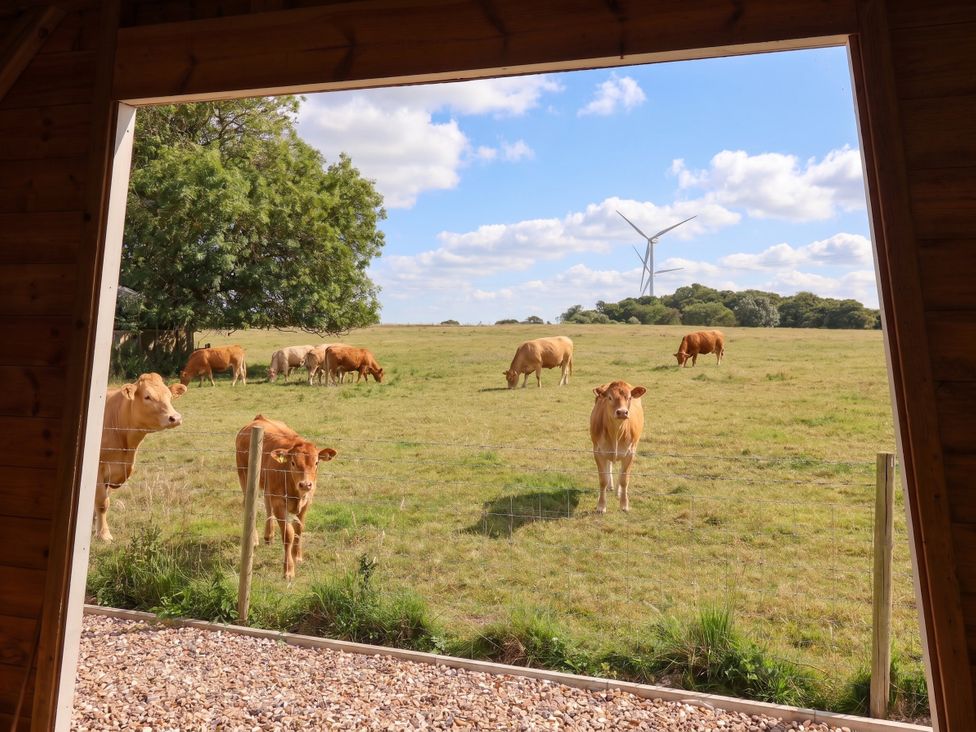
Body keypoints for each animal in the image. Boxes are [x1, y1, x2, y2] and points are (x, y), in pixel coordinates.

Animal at [96, 373, 187, 541]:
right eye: (147, 397)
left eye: (170, 396)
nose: (175, 418)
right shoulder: (99, 468)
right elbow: (102, 502)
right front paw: (104, 535)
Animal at [235, 415, 337, 579]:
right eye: (293, 462)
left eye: (316, 462)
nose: (305, 484)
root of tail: (259, 418)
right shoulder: (279, 503)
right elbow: (288, 534)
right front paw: (288, 569)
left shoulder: (307, 502)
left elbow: (299, 529)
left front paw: (297, 556)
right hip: (244, 475)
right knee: (249, 504)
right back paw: (254, 539)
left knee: (267, 504)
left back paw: (269, 536)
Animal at [589, 380, 646, 514]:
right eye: (609, 397)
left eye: (629, 397)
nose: (622, 412)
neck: (616, 431)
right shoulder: (598, 451)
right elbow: (603, 480)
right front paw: (601, 506)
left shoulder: (630, 453)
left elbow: (624, 479)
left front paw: (624, 505)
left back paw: (618, 492)